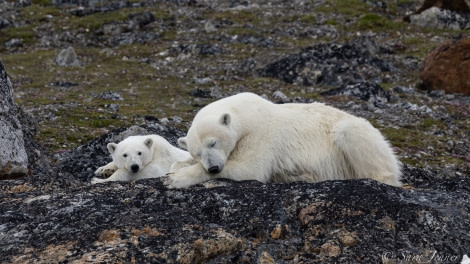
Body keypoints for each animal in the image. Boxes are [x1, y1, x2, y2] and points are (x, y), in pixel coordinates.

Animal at [165, 93, 400, 188]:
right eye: (197, 153)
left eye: (213, 143)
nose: (213, 167)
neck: (248, 113)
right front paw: (177, 167)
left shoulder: (260, 134)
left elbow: (248, 168)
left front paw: (176, 179)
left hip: (357, 135)